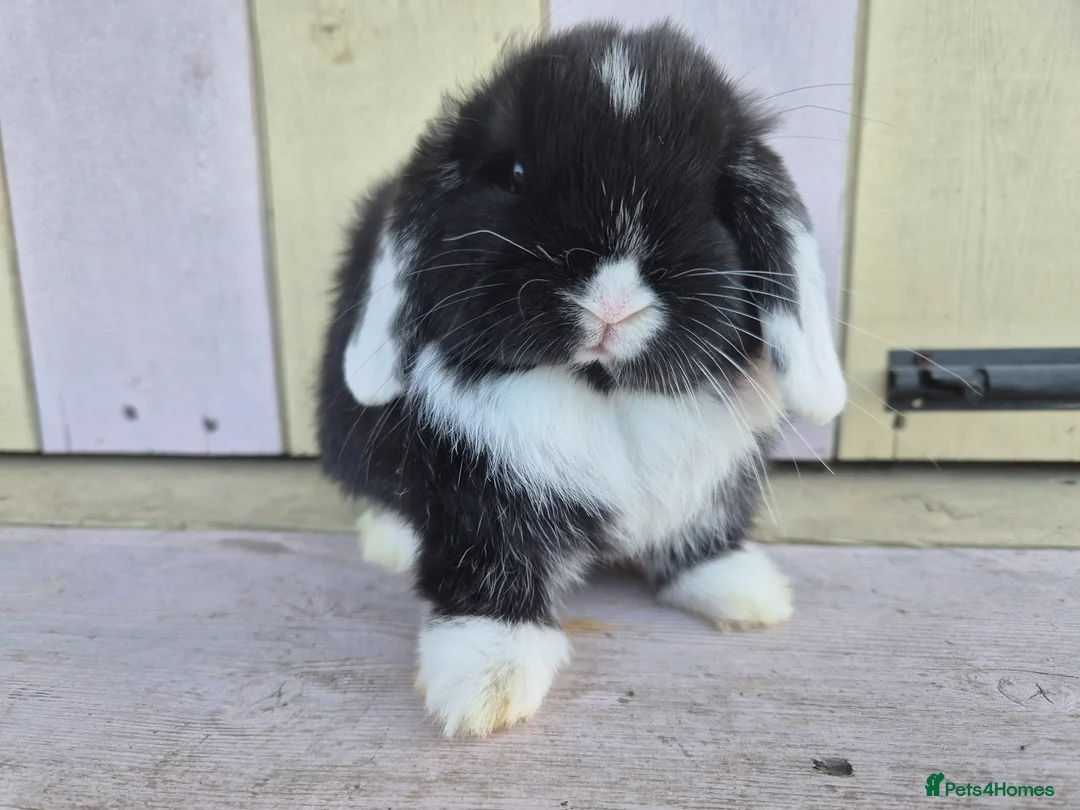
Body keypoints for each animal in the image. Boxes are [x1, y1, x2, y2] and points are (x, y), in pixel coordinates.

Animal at [316, 20, 846, 738]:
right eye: (513, 173)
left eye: (715, 198)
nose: (612, 302)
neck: (604, 396)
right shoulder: (479, 488)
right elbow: (489, 561)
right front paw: (486, 680)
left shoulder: (711, 484)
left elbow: (704, 532)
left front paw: (744, 590)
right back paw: (393, 541)